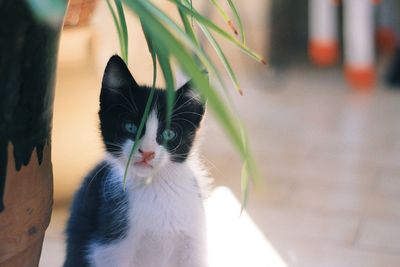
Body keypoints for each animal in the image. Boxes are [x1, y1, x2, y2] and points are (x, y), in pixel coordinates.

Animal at [63, 55, 209, 266]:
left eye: (169, 133)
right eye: (131, 127)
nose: (147, 152)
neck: (154, 188)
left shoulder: (193, 243)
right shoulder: (110, 247)